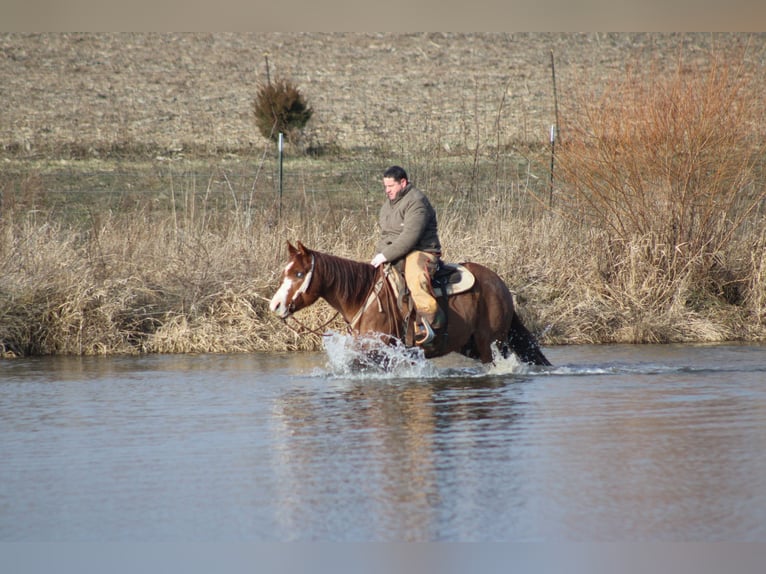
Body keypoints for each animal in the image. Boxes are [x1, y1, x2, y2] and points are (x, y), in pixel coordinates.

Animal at [269, 241, 551, 366]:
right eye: (286, 271)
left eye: (299, 274)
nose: (275, 305)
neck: (363, 296)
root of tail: (499, 283)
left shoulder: (379, 350)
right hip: (469, 344)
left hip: (491, 343)